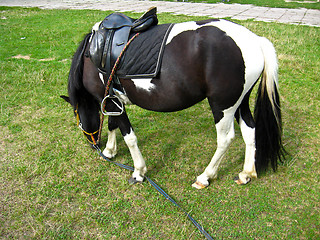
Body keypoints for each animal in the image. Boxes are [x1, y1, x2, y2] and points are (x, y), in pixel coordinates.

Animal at [61, 17, 284, 188]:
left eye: (76, 116)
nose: (94, 145)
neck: (93, 54)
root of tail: (255, 41)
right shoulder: (112, 101)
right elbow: (111, 124)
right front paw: (109, 151)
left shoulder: (108, 100)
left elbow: (129, 136)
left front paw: (138, 171)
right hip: (240, 103)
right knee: (250, 131)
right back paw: (246, 173)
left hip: (222, 106)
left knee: (225, 139)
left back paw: (205, 176)